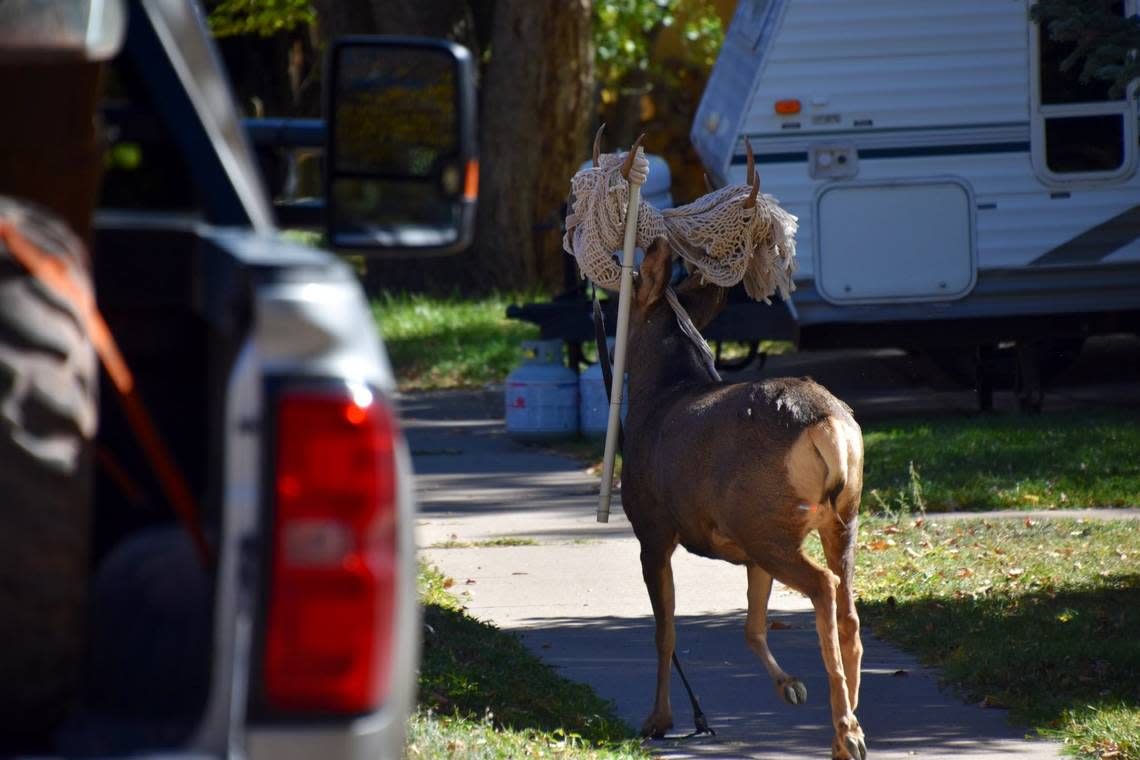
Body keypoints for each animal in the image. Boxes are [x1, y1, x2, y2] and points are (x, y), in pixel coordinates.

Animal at [620, 234, 866, 756]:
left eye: (626, 291)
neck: (657, 393)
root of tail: (829, 425)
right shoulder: (747, 553)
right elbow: (752, 627)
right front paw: (789, 686)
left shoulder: (652, 531)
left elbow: (665, 633)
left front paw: (658, 720)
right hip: (831, 519)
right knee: (849, 611)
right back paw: (848, 727)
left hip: (770, 527)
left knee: (824, 588)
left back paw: (847, 731)